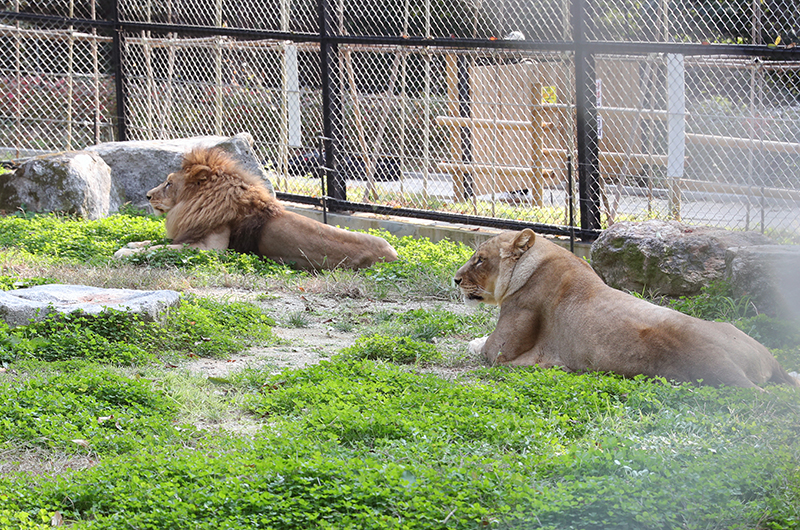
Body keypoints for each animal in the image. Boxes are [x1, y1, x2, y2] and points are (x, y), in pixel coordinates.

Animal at [111, 147, 398, 268]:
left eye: (169, 183)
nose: (148, 196)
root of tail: (396, 255)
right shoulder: (189, 234)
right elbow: (154, 242)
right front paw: (131, 244)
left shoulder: (210, 249)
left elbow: (160, 249)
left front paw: (123, 252)